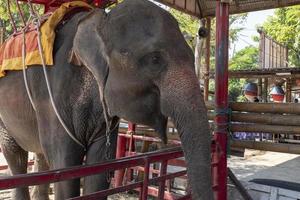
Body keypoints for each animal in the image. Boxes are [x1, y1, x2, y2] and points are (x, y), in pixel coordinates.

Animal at [0, 0, 212, 199]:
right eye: (155, 60)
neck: (100, 20)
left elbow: (99, 168)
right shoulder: (52, 96)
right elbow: (65, 165)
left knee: (40, 155)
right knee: (16, 156)